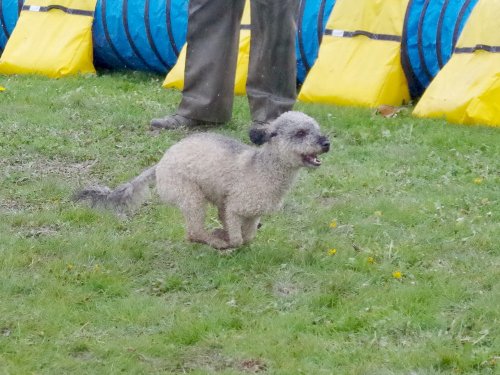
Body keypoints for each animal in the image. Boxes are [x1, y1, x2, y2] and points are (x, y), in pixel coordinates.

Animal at [76, 112, 330, 253]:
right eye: (300, 133)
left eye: (317, 129)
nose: (326, 143)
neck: (262, 169)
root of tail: (160, 164)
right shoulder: (232, 208)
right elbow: (237, 238)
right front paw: (224, 237)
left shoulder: (252, 214)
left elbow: (247, 237)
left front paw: (227, 235)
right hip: (192, 197)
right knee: (193, 233)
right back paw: (215, 242)